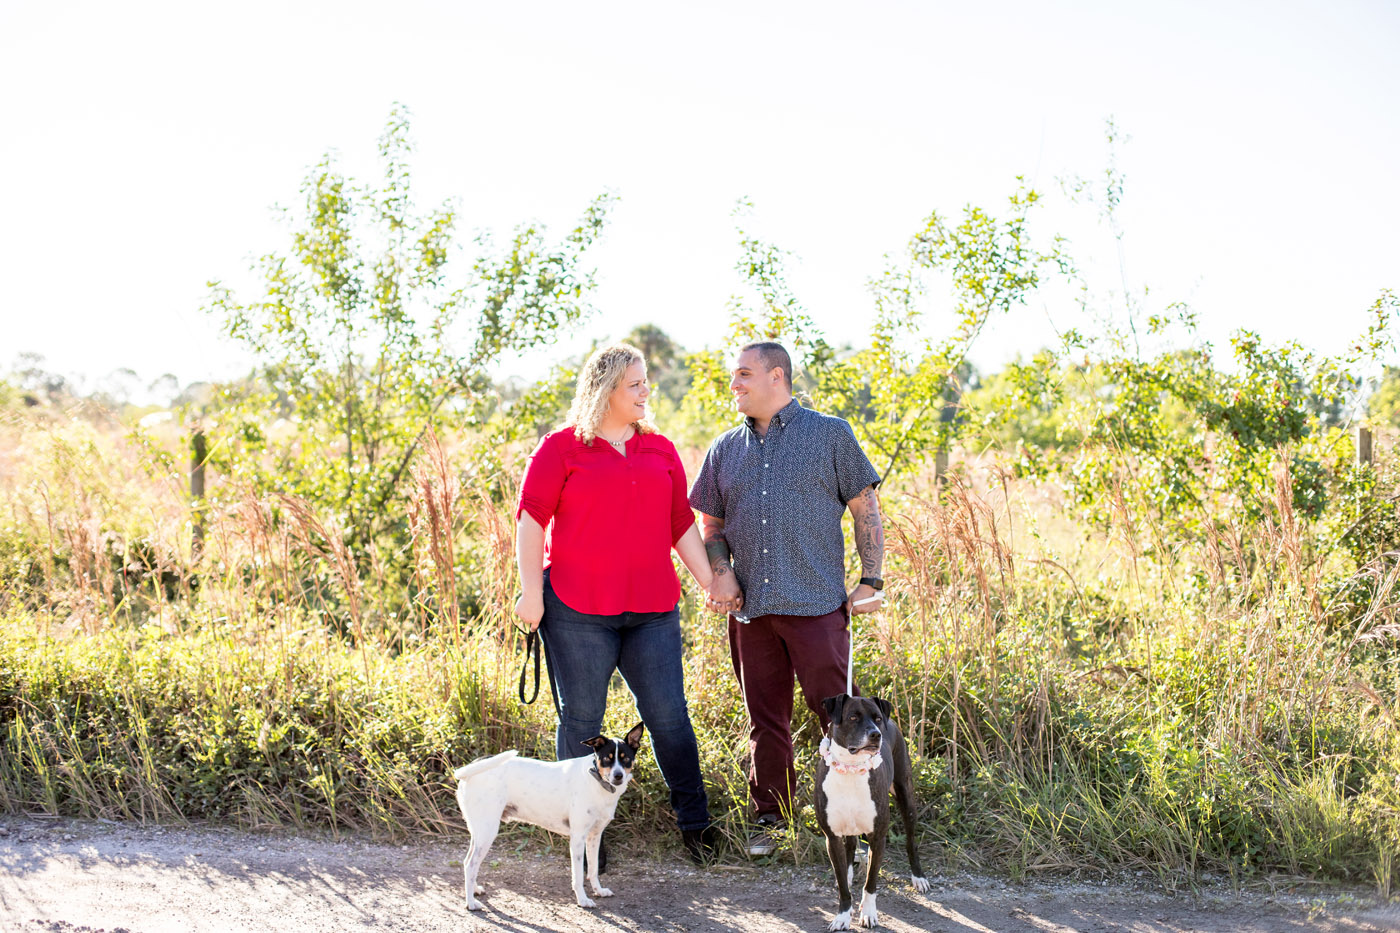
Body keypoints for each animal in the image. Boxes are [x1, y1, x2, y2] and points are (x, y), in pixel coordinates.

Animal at [450, 717, 641, 907]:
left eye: (626, 759)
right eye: (607, 759)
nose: (618, 776)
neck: (597, 781)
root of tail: (473, 767)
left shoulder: (594, 836)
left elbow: (593, 869)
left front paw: (598, 891)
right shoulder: (578, 838)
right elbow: (578, 876)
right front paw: (583, 900)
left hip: (478, 831)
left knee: (468, 861)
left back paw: (474, 890)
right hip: (487, 831)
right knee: (470, 865)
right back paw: (471, 903)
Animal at [817, 694, 924, 924]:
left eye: (877, 718)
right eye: (853, 717)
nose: (876, 734)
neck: (850, 767)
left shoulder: (878, 837)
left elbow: (871, 883)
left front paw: (868, 913)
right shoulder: (832, 837)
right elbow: (842, 885)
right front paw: (843, 916)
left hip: (907, 798)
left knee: (911, 841)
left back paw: (919, 877)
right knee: (849, 848)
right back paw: (848, 874)